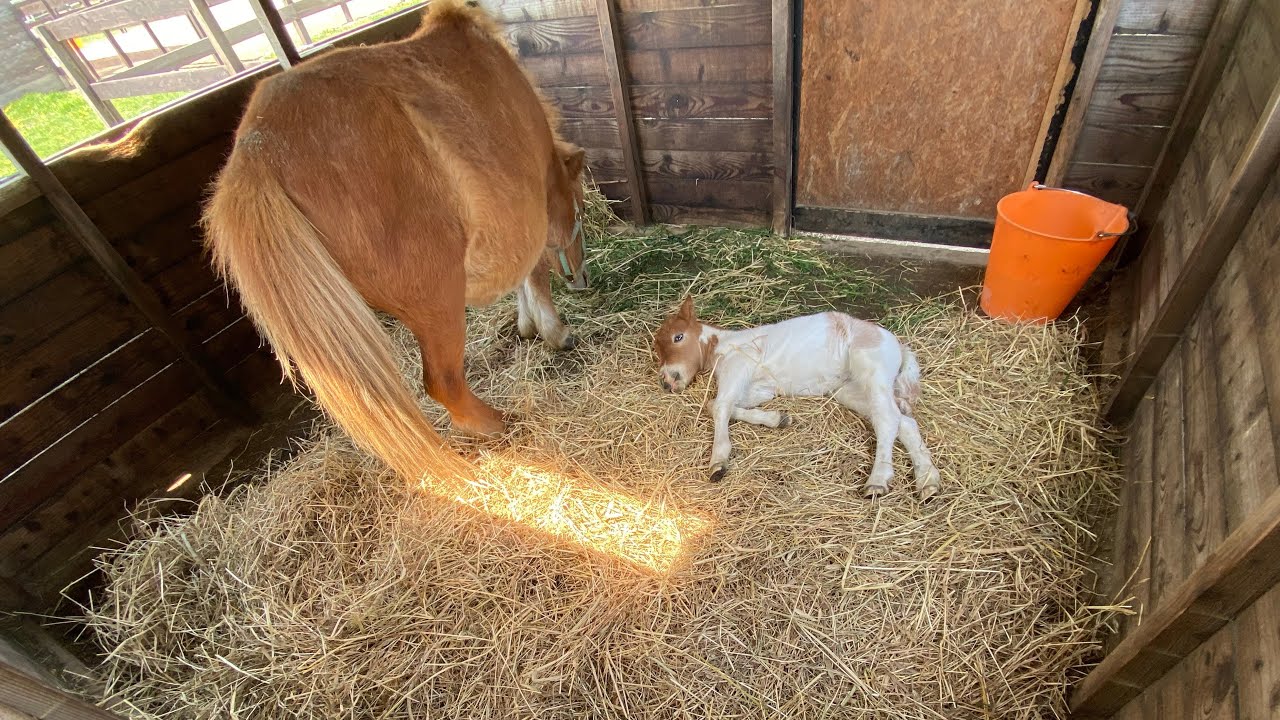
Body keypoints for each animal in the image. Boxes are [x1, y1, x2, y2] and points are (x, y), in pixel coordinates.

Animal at [203, 0, 588, 484]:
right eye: (581, 207)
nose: (582, 278)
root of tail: (256, 156)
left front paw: (528, 326)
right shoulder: (530, 210)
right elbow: (533, 273)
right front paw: (553, 331)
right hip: (437, 301)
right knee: (443, 384)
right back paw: (498, 424)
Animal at [653, 297, 942, 501]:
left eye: (678, 337)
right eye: (657, 349)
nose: (667, 381)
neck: (723, 346)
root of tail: (899, 346)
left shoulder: (739, 367)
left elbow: (719, 406)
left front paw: (718, 461)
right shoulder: (759, 389)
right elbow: (718, 405)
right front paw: (778, 419)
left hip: (872, 370)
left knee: (888, 419)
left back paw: (878, 481)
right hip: (850, 391)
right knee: (903, 423)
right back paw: (928, 483)